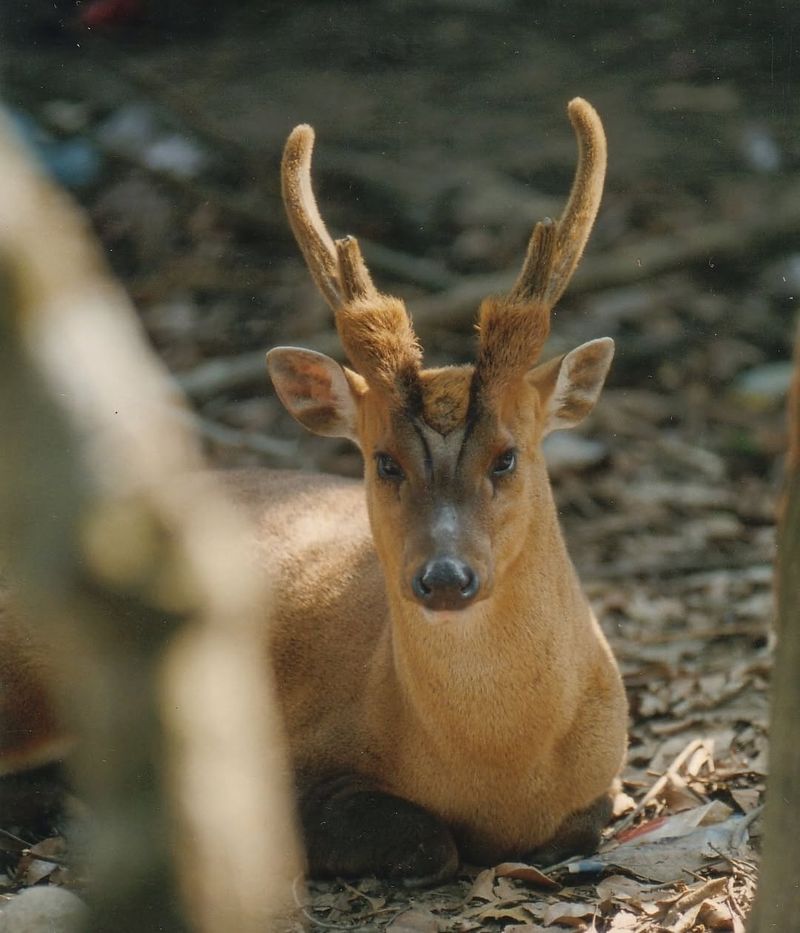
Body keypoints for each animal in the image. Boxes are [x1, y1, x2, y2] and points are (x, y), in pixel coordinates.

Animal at [1, 98, 632, 884]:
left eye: (507, 456)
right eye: (384, 461)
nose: (445, 577)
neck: (500, 773)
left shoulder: (601, 780)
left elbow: (577, 829)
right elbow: (427, 840)